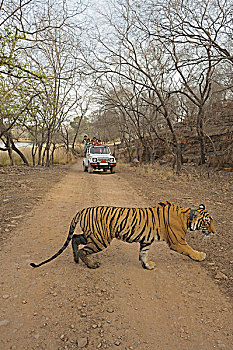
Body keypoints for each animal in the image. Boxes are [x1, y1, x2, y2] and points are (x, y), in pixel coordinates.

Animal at [30, 201, 216, 270]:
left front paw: (147, 265)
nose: (214, 232)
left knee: (75, 239)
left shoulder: (146, 241)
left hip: (93, 235)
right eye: (207, 222)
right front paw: (201, 256)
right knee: (83, 249)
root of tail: (82, 210)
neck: (187, 217)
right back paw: (91, 265)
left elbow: (143, 253)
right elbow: (190, 250)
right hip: (100, 239)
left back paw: (76, 259)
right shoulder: (177, 241)